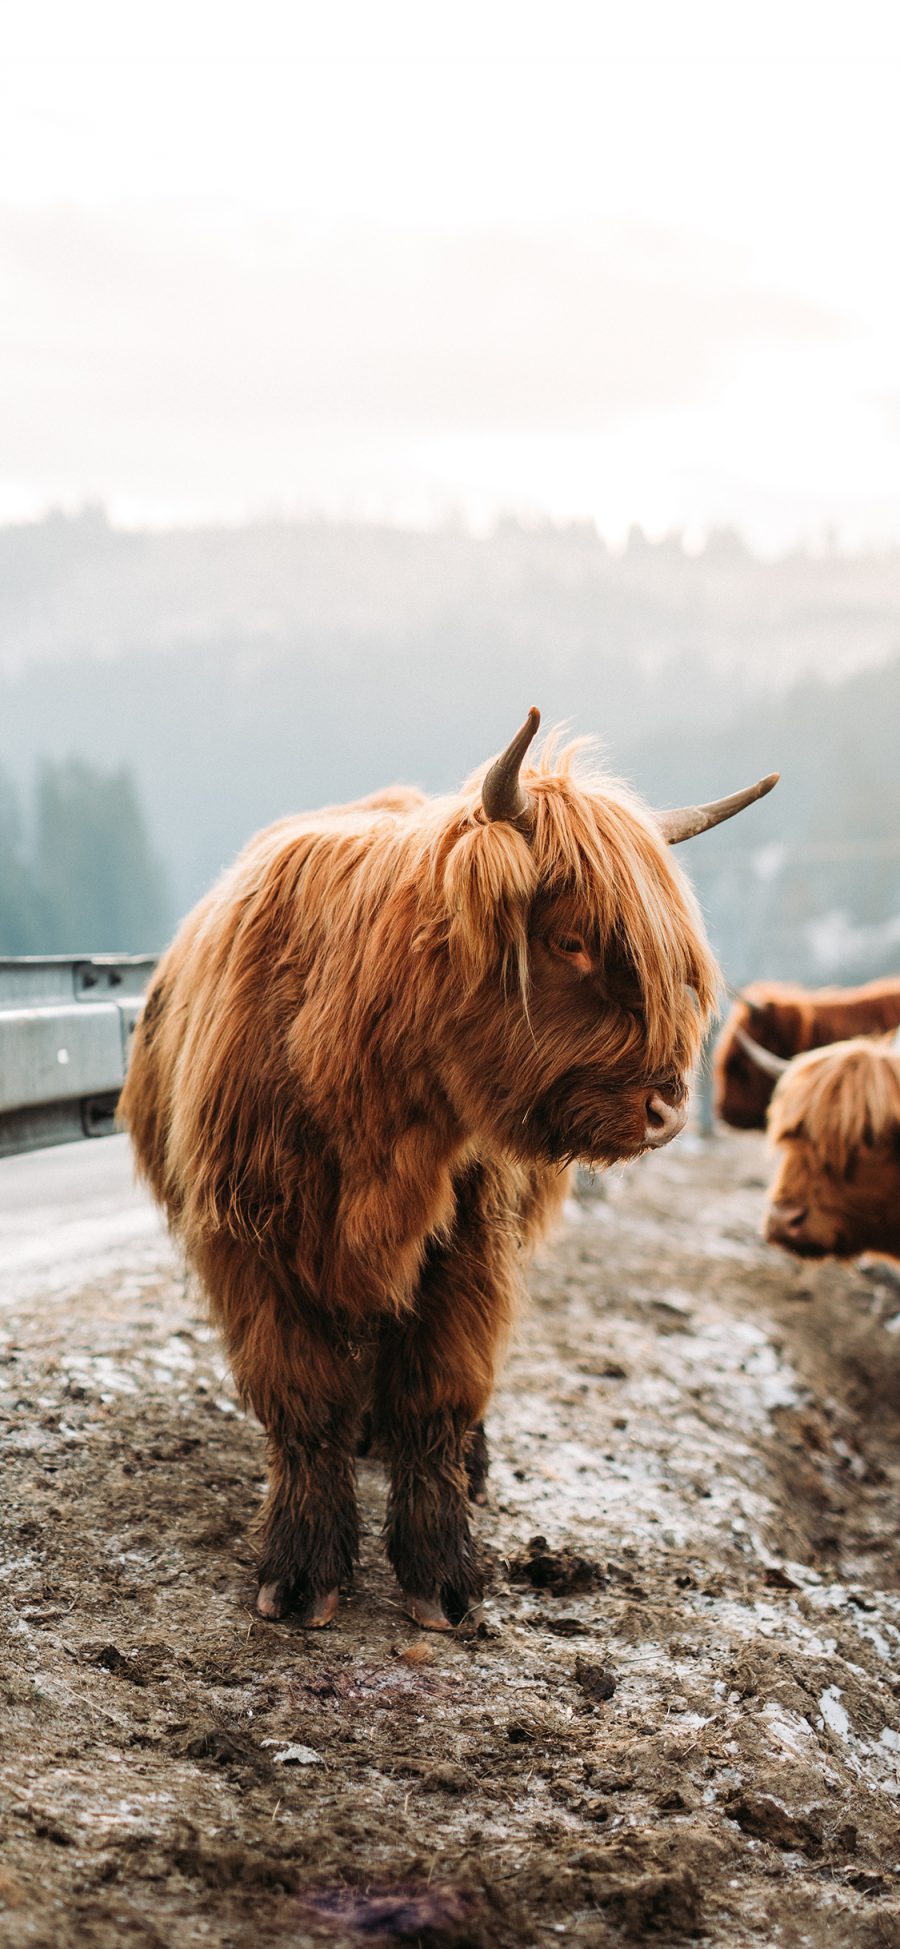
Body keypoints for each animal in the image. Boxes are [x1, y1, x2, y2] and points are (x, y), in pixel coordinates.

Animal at [119, 717, 775, 1629]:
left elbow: (437, 1395)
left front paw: (441, 1574)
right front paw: (302, 1569)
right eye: (571, 939)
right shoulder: (251, 1238)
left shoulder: (468, 1244)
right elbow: (303, 1402)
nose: (669, 1107)